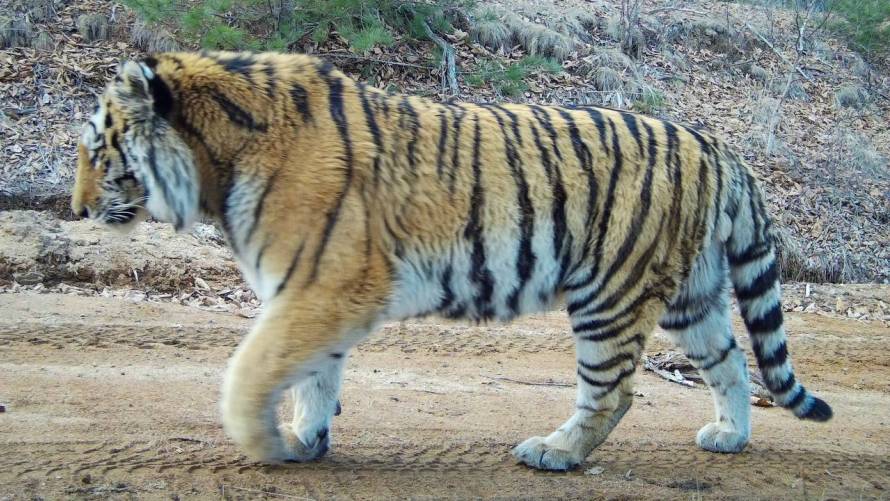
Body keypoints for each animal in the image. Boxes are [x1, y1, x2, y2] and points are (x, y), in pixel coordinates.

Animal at [71, 50, 832, 468]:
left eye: (96, 150)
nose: (74, 209)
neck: (218, 162)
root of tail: (719, 147)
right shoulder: (318, 293)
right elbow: (314, 373)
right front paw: (307, 438)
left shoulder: (321, 286)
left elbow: (251, 369)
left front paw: (262, 443)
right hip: (692, 297)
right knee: (731, 360)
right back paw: (729, 435)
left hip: (612, 293)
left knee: (614, 388)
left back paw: (556, 452)